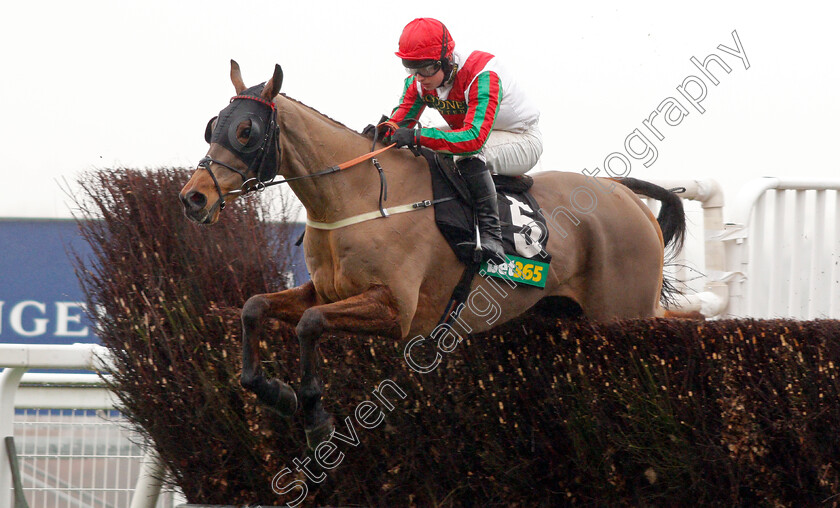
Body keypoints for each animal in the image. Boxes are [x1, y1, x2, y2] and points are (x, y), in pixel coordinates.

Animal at [180, 60, 684, 448]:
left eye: (246, 130)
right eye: (212, 127)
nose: (193, 198)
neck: (355, 196)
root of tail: (626, 194)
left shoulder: (396, 311)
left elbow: (310, 324)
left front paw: (315, 415)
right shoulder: (324, 291)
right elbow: (254, 307)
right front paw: (275, 392)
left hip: (622, 315)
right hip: (562, 314)